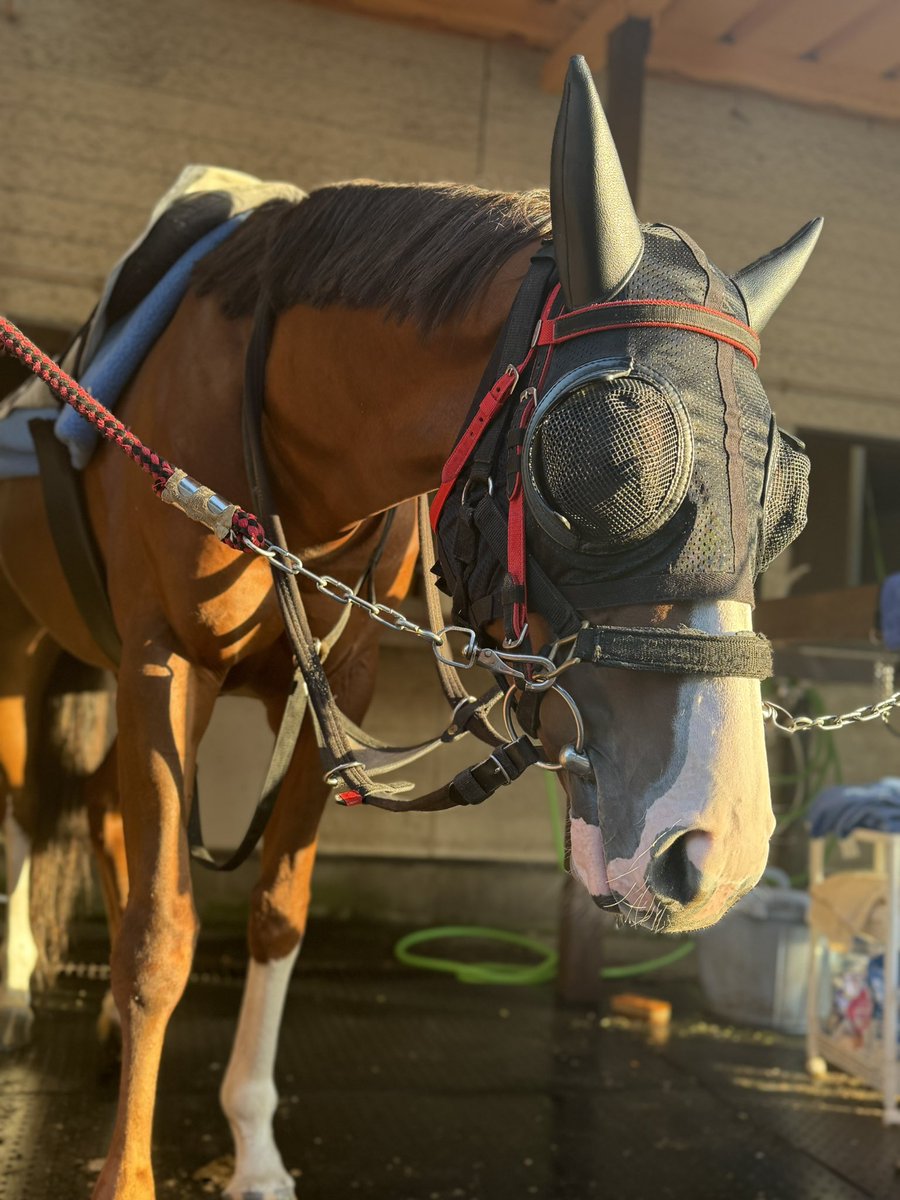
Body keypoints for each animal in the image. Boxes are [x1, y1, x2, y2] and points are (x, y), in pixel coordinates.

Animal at [0, 57, 820, 1200]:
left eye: (790, 496)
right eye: (605, 455)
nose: (720, 848)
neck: (288, 453)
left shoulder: (327, 687)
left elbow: (275, 917)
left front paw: (254, 1150)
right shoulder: (164, 666)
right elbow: (162, 937)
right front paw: (127, 1173)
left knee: (104, 828)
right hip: (26, 653)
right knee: (27, 813)